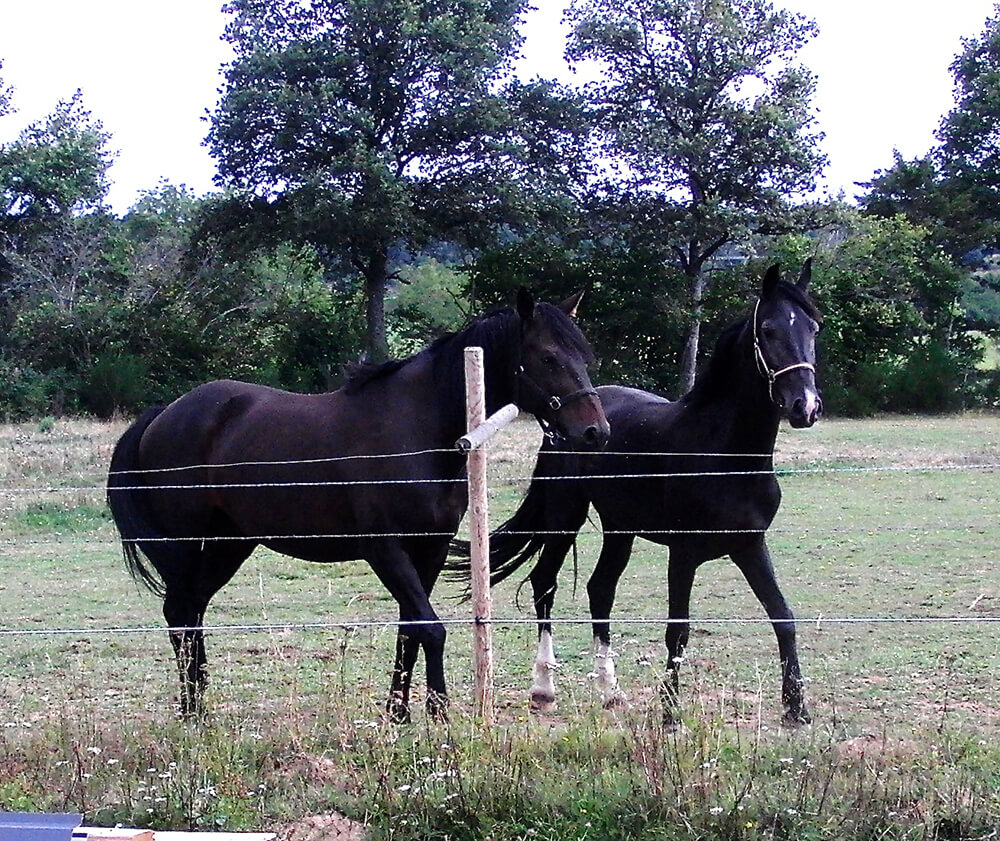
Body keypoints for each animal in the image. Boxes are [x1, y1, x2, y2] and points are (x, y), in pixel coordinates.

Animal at [107, 290, 608, 720]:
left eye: (585, 357)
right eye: (548, 357)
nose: (596, 432)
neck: (417, 433)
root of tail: (163, 414)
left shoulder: (428, 547)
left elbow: (411, 628)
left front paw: (399, 714)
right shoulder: (384, 549)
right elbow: (431, 628)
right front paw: (438, 713)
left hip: (228, 545)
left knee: (191, 611)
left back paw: (198, 705)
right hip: (186, 547)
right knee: (179, 615)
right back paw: (191, 711)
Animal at [458, 262, 824, 720]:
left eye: (814, 327)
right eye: (770, 330)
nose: (805, 406)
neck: (726, 453)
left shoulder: (749, 545)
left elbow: (782, 616)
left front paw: (796, 708)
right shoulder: (683, 553)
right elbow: (677, 631)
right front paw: (669, 713)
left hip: (620, 529)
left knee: (600, 590)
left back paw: (610, 691)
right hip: (565, 515)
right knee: (545, 583)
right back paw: (544, 689)